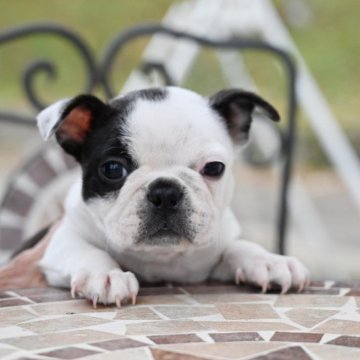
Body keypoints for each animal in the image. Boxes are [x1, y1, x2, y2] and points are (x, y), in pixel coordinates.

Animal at [36, 87, 308, 306]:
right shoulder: (61, 238)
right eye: (112, 169)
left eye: (214, 168)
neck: (161, 258)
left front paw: (270, 261)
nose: (165, 192)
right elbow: (86, 249)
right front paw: (106, 275)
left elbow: (238, 246)